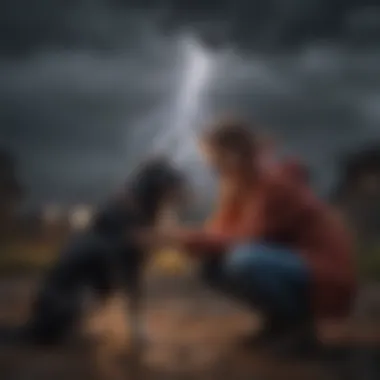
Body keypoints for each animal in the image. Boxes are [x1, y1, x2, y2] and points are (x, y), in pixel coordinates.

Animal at [17, 157, 186, 344]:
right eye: (164, 171)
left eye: (173, 167)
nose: (183, 180)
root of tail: (33, 322)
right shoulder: (130, 270)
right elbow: (136, 307)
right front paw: (140, 337)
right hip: (84, 292)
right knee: (58, 333)